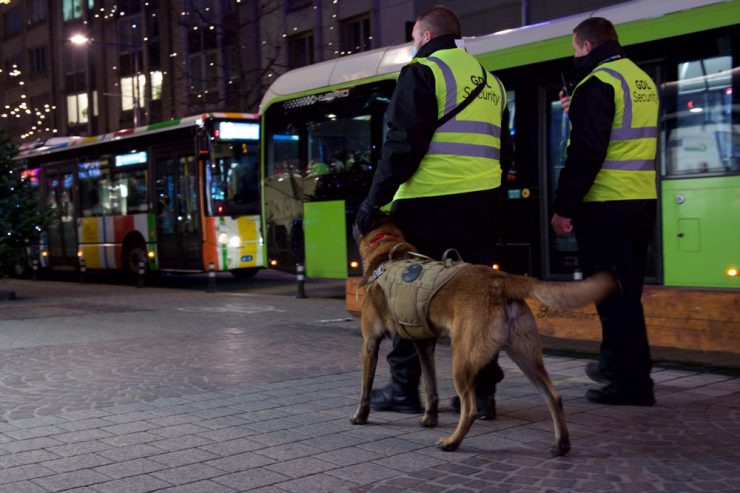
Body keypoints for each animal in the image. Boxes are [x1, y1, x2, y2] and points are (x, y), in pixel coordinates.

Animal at [352, 221, 612, 456]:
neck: (388, 253)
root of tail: (502, 280)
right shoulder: (424, 346)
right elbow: (430, 387)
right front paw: (429, 419)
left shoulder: (369, 344)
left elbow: (365, 389)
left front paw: (360, 417)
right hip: (526, 358)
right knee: (554, 396)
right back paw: (561, 445)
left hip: (462, 360)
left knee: (470, 409)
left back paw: (452, 442)